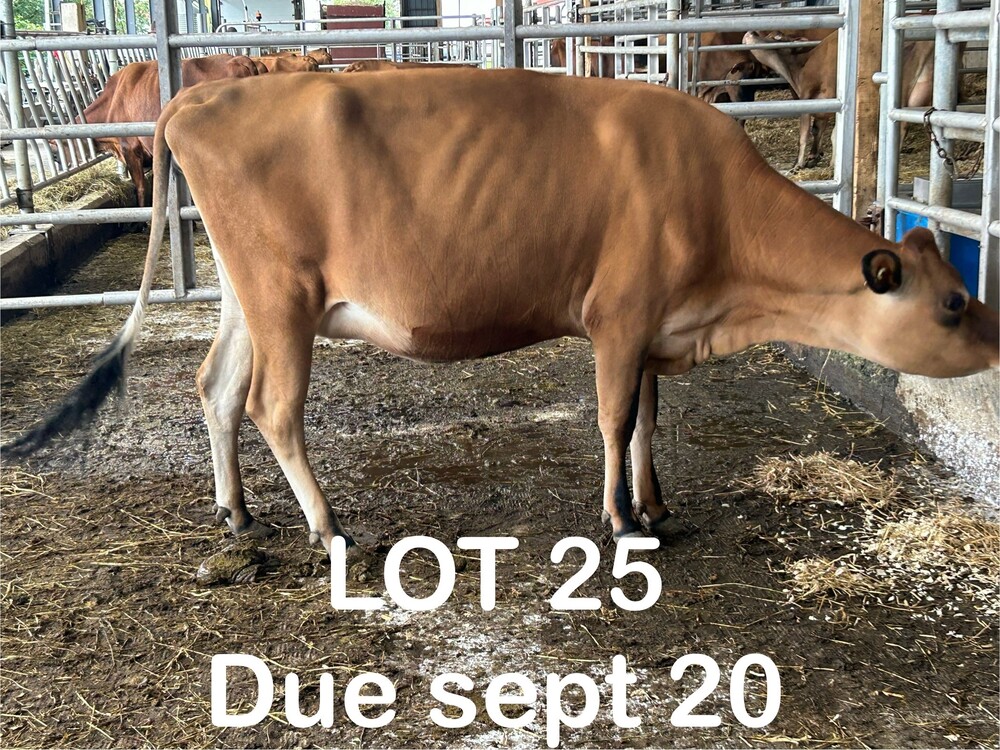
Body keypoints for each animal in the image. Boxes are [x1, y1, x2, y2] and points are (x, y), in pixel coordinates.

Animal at [745, 30, 934, 169]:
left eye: (774, 37)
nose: (751, 32)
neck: (800, 69)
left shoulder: (811, 99)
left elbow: (808, 134)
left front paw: (800, 164)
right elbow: (819, 131)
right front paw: (815, 158)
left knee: (901, 127)